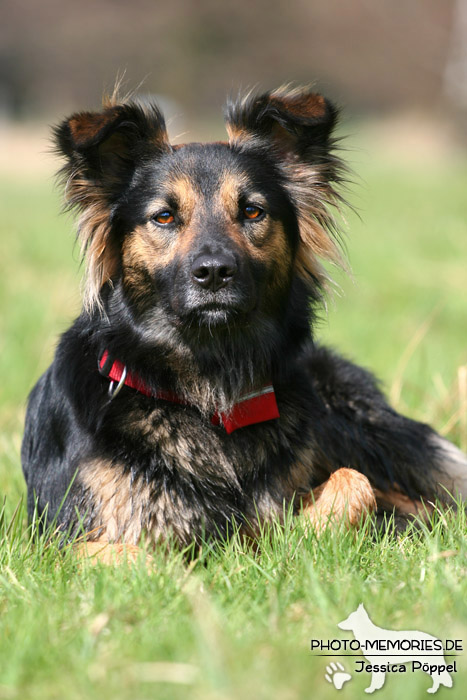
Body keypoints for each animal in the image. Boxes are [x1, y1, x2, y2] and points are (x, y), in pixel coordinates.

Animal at [21, 86, 467, 556]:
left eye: (252, 211)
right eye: (164, 216)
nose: (215, 272)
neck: (209, 391)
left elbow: (351, 483)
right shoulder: (73, 541)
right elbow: (147, 556)